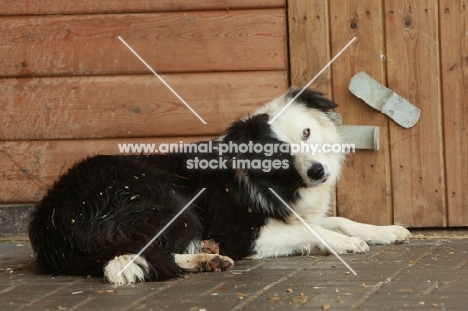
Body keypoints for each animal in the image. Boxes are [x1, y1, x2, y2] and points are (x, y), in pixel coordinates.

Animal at [29, 89, 410, 286]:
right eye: (279, 154)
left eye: (307, 133)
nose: (318, 172)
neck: (277, 183)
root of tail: (52, 219)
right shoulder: (242, 233)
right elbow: (311, 231)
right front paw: (345, 243)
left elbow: (339, 220)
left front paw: (386, 231)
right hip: (168, 200)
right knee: (144, 252)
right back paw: (204, 257)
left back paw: (205, 258)